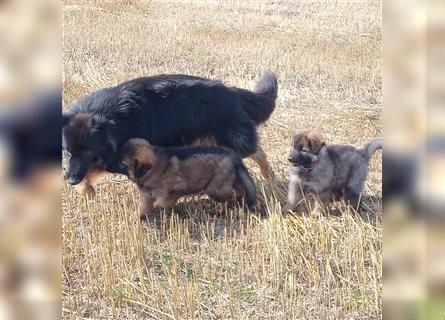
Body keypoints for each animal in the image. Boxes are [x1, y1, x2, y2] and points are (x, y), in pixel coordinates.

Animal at [62, 71, 278, 196]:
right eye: (67, 151)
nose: (70, 181)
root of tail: (232, 91)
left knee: (257, 150)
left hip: (230, 138)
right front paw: (86, 190)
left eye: (87, 152)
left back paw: (269, 175)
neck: (112, 118)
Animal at [119, 138, 256, 218]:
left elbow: (164, 201)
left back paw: (223, 207)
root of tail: (233, 156)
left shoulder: (177, 188)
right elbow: (144, 206)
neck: (153, 168)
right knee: (237, 187)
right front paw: (137, 216)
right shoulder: (146, 195)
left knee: (229, 195)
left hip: (214, 188)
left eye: (123, 164)